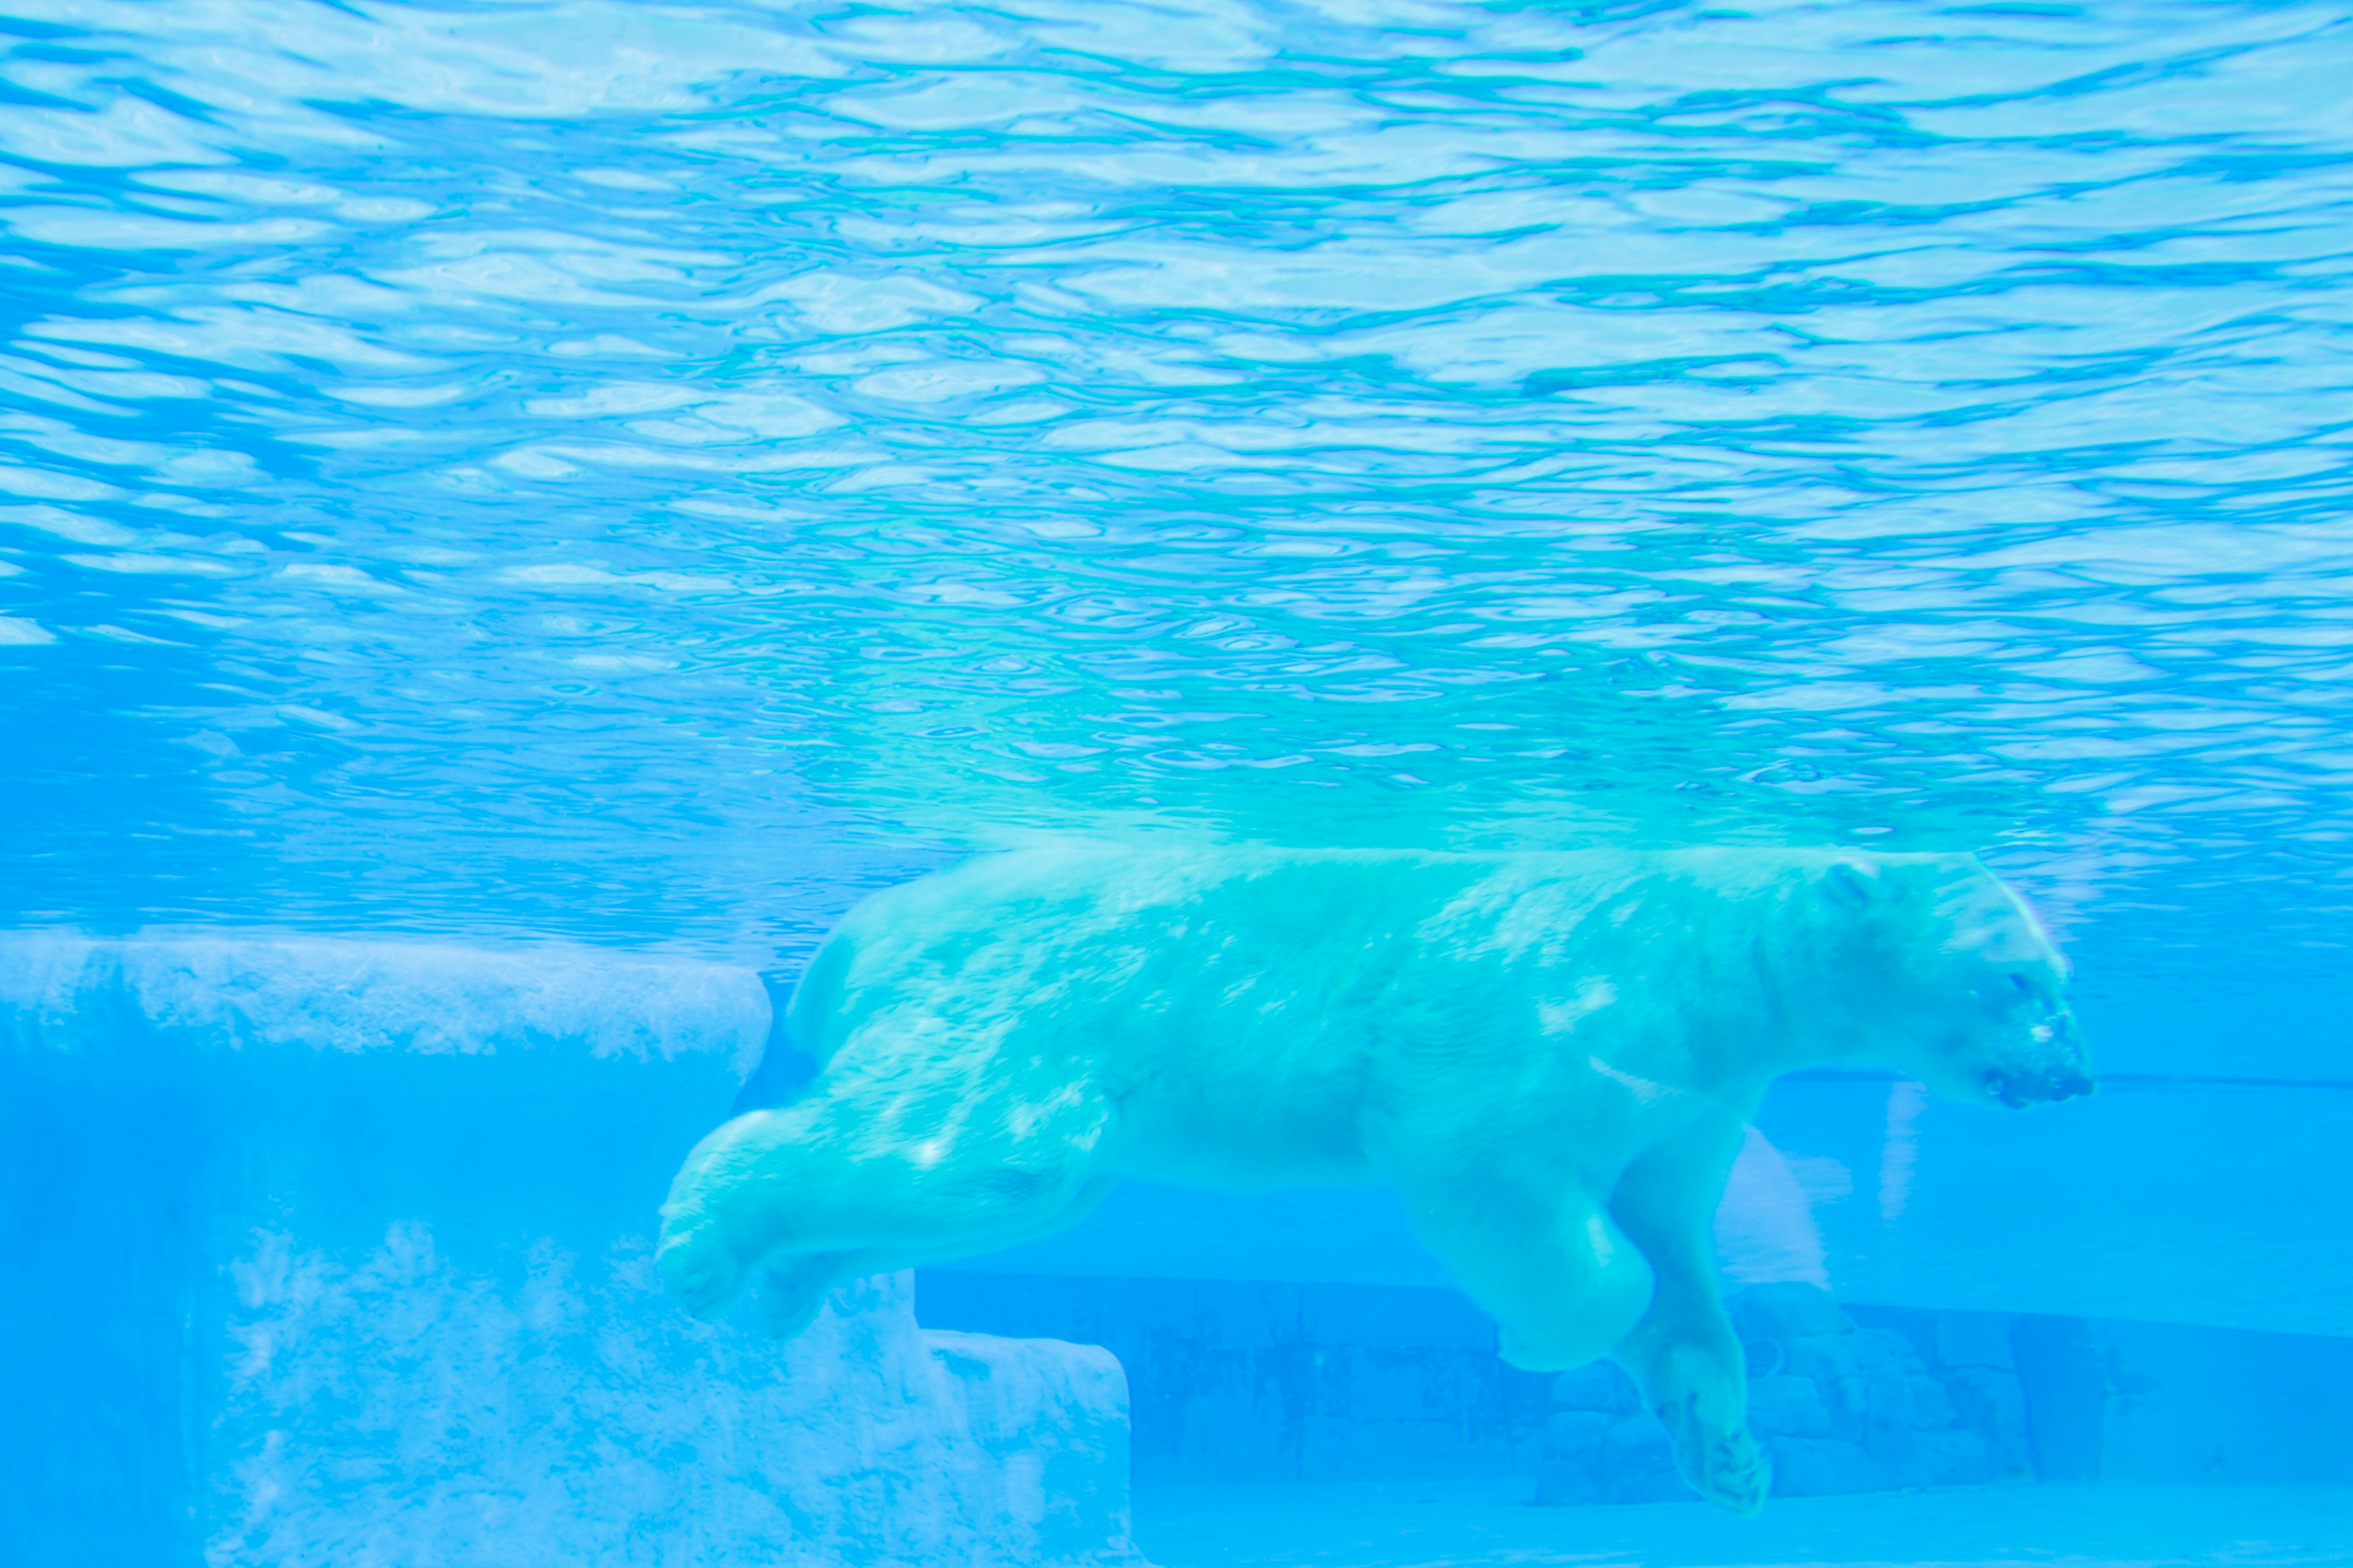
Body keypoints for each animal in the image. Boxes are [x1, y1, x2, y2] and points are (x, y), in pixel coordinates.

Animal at [654, 847, 2089, 1507]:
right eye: (2024, 976)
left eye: (2062, 976)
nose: (2077, 1075)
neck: (1703, 958)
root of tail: (866, 923)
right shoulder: (1541, 1025)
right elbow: (1499, 1179)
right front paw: (1551, 1333)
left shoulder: (1697, 1097)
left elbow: (1681, 1250)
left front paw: (1725, 1444)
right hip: (1049, 991)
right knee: (987, 1149)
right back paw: (704, 1238)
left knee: (1023, 1182)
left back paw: (786, 1285)